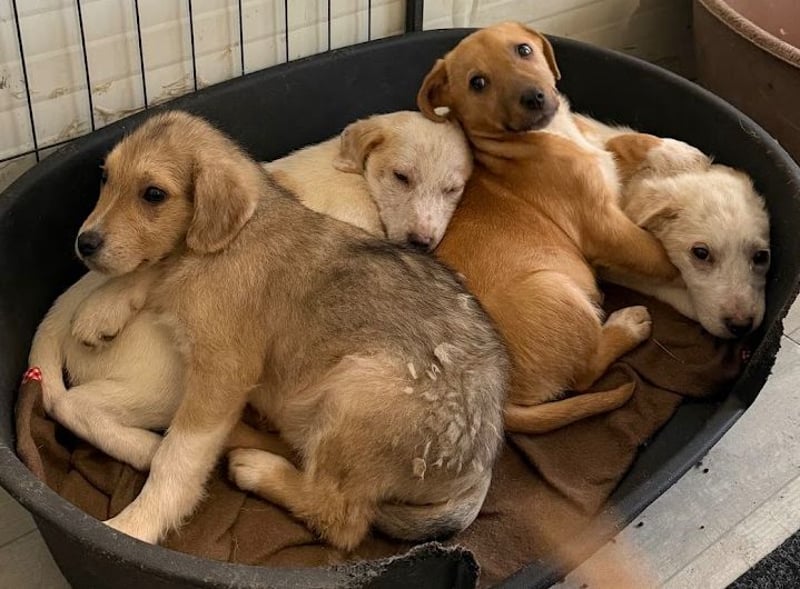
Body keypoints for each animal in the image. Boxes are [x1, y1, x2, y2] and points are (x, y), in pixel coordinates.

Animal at [417, 22, 680, 434]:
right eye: (478, 82)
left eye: (523, 50)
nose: (534, 97)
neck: (549, 136)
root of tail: (500, 401)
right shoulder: (604, 225)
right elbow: (655, 252)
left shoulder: (601, 155)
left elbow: (623, 142)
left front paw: (673, 149)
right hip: (553, 288)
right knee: (585, 373)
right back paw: (628, 325)